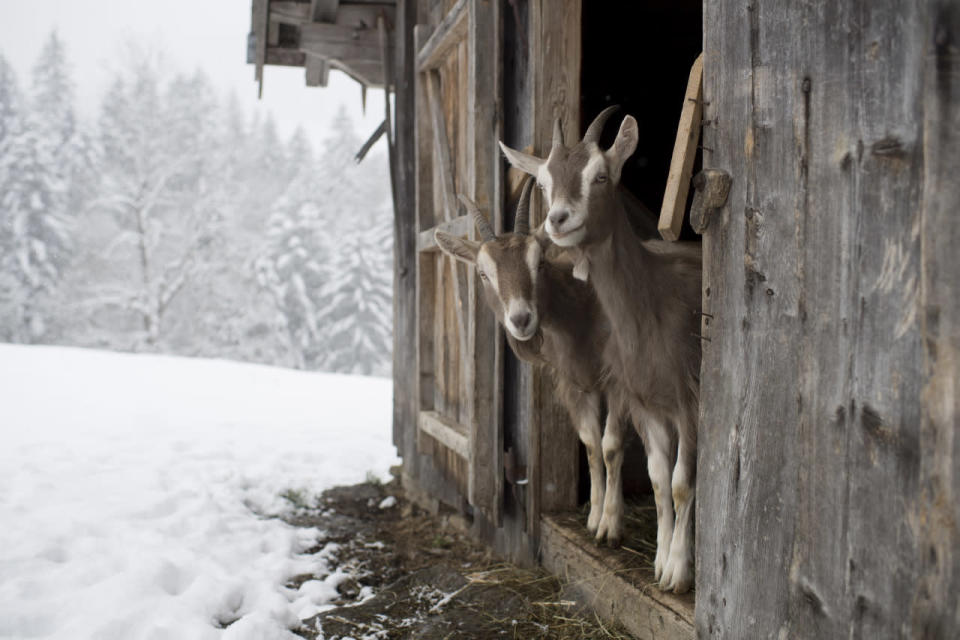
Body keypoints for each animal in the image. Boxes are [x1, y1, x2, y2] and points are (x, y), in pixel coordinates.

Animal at [502, 110, 704, 596]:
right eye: (544, 182)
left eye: (600, 175)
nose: (558, 219)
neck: (654, 306)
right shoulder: (645, 403)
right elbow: (658, 480)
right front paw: (659, 563)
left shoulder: (689, 403)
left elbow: (682, 482)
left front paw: (678, 573)